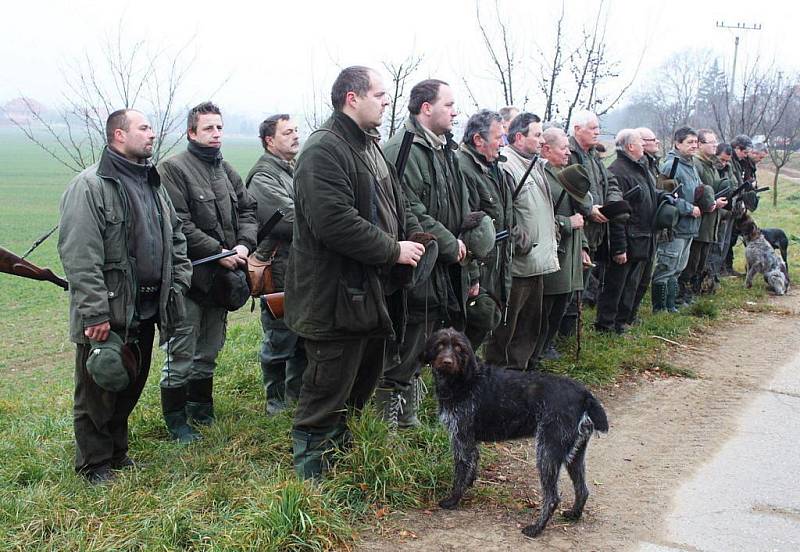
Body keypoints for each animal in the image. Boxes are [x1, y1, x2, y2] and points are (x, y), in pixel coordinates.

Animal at [422, 328, 608, 540]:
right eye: (440, 345)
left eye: (459, 348)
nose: (447, 361)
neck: (464, 379)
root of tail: (585, 395)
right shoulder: (470, 442)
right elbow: (470, 469)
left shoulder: (462, 439)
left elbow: (460, 474)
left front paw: (453, 500)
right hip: (574, 454)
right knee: (582, 489)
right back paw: (574, 514)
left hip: (547, 452)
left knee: (552, 497)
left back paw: (536, 529)